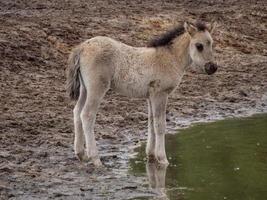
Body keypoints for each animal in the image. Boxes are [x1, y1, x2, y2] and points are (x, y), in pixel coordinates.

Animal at [66, 21, 219, 166]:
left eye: (211, 44)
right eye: (199, 46)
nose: (212, 67)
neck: (170, 58)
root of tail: (82, 47)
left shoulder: (150, 96)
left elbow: (151, 123)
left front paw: (151, 155)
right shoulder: (160, 94)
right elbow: (160, 125)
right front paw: (163, 159)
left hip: (85, 89)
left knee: (77, 112)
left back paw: (81, 154)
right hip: (96, 88)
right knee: (87, 115)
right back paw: (96, 159)